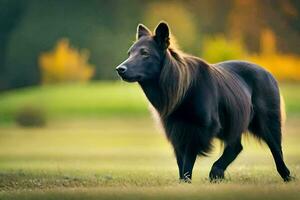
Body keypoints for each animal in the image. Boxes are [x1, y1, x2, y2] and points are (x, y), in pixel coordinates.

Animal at [116, 22, 292, 183]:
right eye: (129, 53)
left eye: (145, 53)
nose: (119, 69)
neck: (182, 88)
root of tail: (269, 73)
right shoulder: (176, 132)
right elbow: (181, 162)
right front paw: (183, 181)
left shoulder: (198, 129)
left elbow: (188, 160)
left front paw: (187, 181)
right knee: (236, 147)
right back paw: (217, 172)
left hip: (268, 123)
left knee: (276, 151)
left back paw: (286, 176)